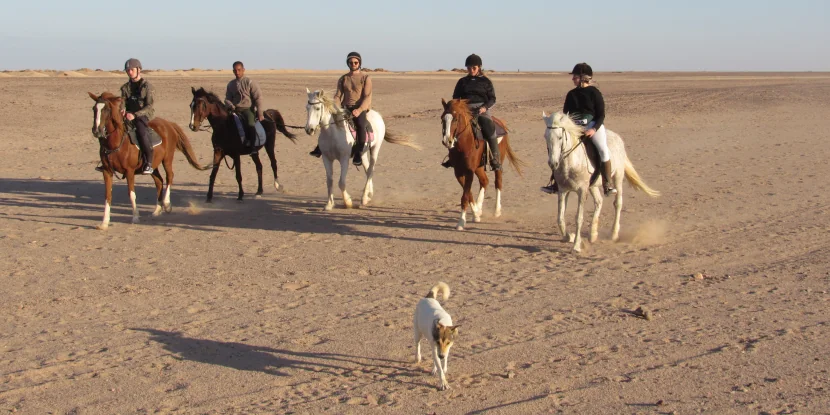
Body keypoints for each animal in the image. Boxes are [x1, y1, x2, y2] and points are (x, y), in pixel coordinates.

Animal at [88, 91, 214, 232]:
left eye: (107, 110)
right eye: (94, 109)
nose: (96, 131)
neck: (116, 143)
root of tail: (168, 124)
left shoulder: (129, 171)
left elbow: (131, 194)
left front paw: (135, 217)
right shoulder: (107, 171)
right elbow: (108, 196)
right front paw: (104, 222)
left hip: (167, 159)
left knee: (169, 177)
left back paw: (167, 204)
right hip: (153, 165)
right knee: (159, 181)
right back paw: (157, 210)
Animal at [442, 99, 528, 232]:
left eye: (455, 119)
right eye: (442, 119)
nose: (447, 141)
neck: (463, 145)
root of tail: (500, 122)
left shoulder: (469, 171)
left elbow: (465, 197)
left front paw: (461, 222)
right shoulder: (458, 172)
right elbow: (469, 194)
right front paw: (476, 214)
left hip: (497, 162)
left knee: (498, 182)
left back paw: (496, 211)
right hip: (479, 167)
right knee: (484, 181)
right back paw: (479, 208)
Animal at [540, 112, 664, 252]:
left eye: (560, 137)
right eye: (545, 136)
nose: (553, 163)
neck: (571, 162)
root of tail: (617, 137)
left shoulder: (582, 191)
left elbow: (579, 218)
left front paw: (576, 245)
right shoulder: (563, 190)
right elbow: (560, 218)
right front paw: (569, 237)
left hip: (617, 178)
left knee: (618, 203)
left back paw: (613, 234)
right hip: (593, 185)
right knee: (599, 201)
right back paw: (593, 234)